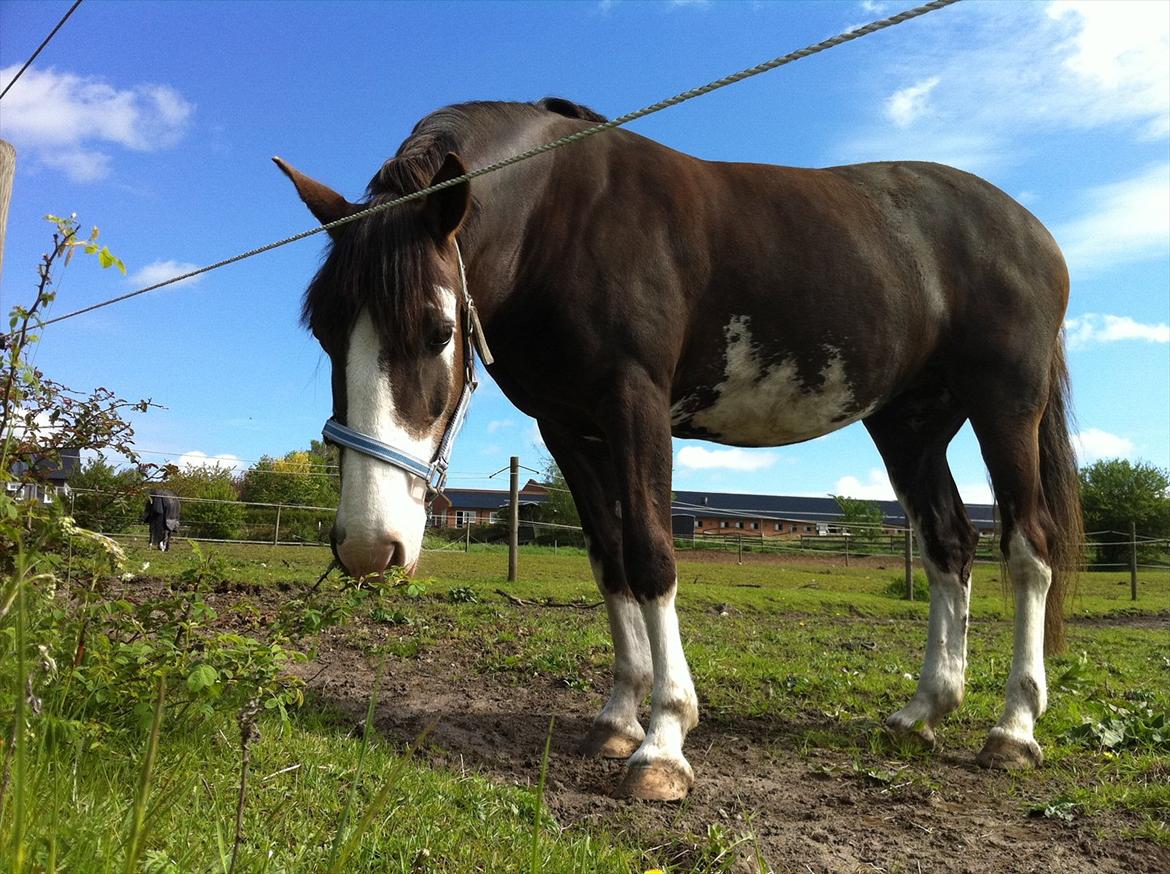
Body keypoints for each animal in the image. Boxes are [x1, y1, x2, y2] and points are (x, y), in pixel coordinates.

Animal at [278, 98, 1081, 804]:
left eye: (439, 330)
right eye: (324, 331)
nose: (366, 546)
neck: (563, 216)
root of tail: (1033, 231)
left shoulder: (637, 405)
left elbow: (651, 556)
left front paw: (663, 742)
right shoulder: (568, 428)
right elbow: (609, 560)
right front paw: (616, 719)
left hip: (1006, 408)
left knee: (1028, 549)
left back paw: (1014, 729)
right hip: (909, 427)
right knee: (949, 545)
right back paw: (922, 713)